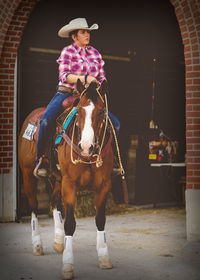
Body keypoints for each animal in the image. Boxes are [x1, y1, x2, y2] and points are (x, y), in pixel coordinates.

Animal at [18, 80, 118, 278]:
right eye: (78, 111)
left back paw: (58, 242)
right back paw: (37, 245)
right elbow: (70, 223)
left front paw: (104, 257)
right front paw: (68, 265)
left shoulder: (103, 185)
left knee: (55, 202)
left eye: (102, 111)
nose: (86, 146)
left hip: (56, 180)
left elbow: (100, 219)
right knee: (33, 207)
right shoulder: (70, 184)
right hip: (28, 175)